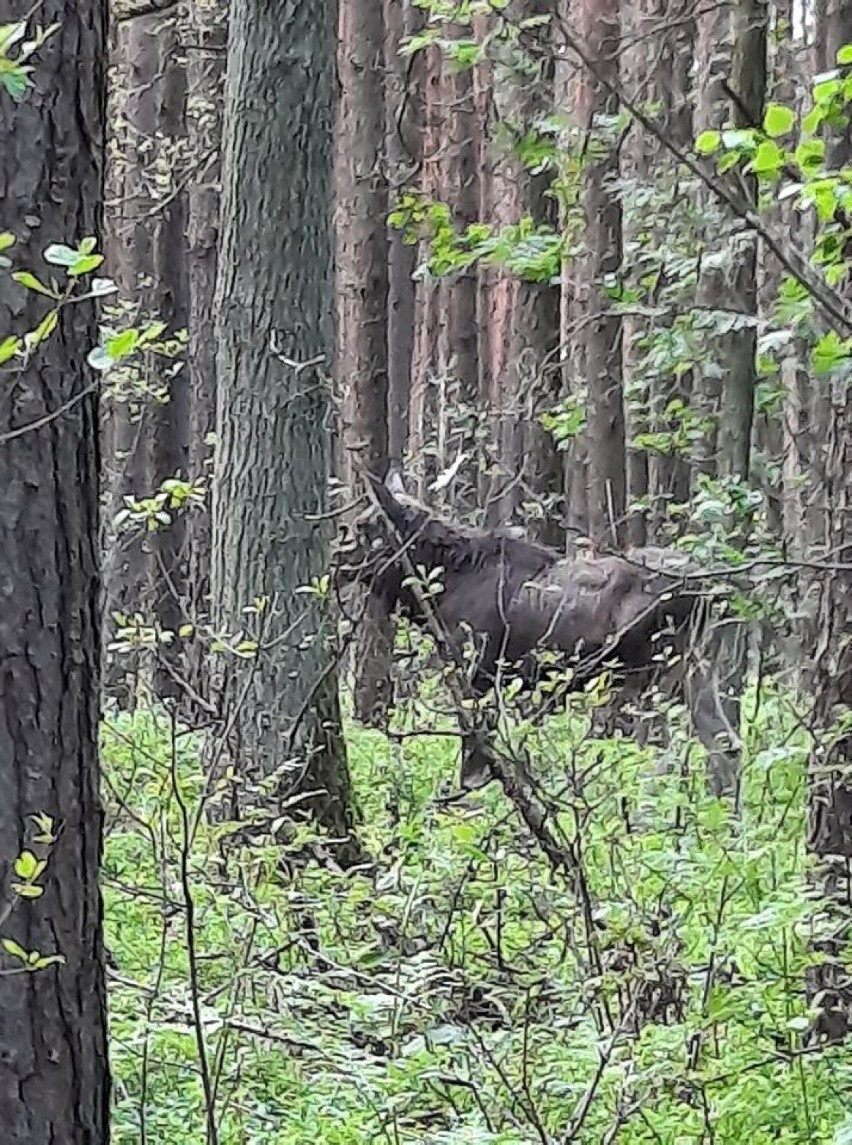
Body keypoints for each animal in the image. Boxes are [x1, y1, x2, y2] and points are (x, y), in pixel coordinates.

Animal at [336, 464, 737, 796]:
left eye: (365, 526)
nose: (337, 557)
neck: (439, 589)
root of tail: (708, 591)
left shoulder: (476, 672)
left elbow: (473, 759)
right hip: (695, 671)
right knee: (726, 745)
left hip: (648, 676)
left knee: (659, 754)